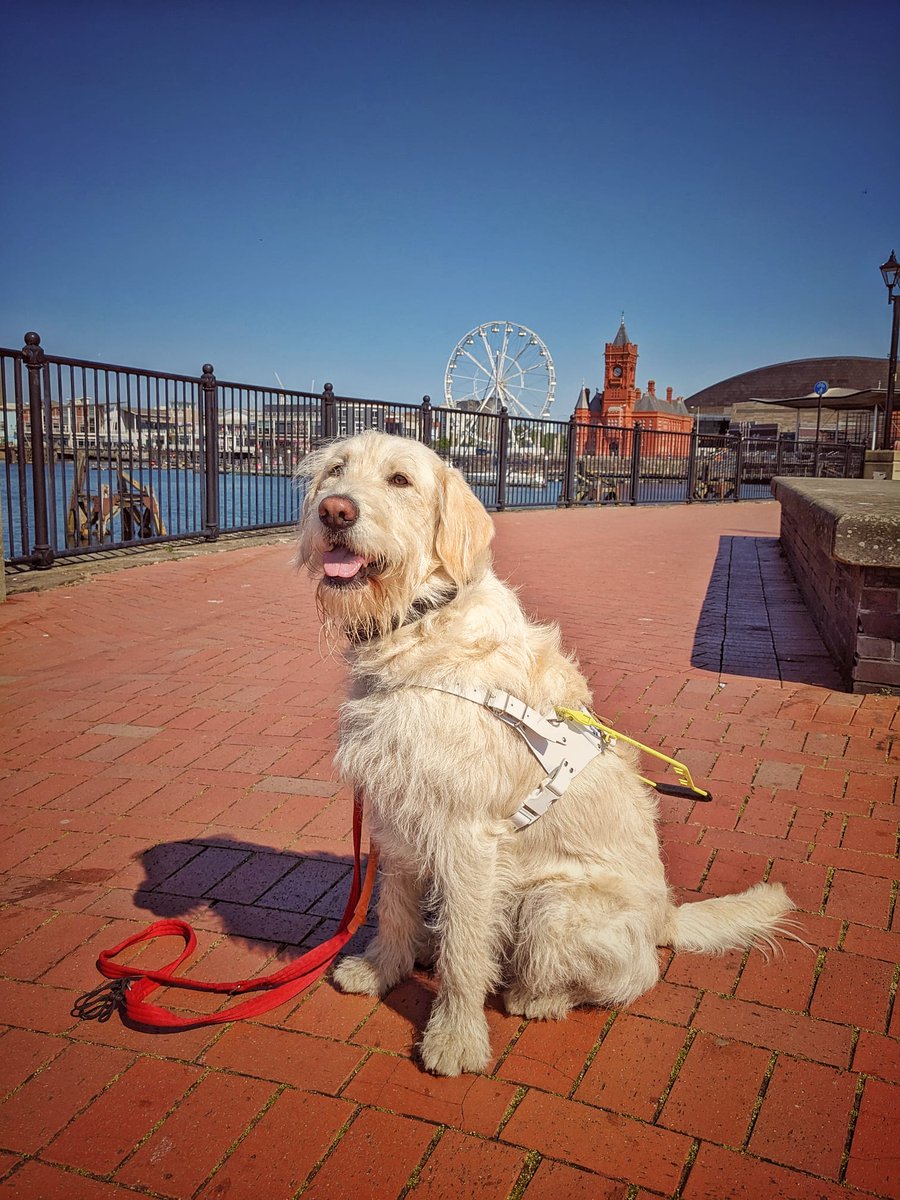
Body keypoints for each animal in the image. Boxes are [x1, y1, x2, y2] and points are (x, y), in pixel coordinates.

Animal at [297, 429, 796, 1080]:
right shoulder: (399, 811)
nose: (336, 512)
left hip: (552, 905)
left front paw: (455, 1038)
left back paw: (535, 997)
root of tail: (666, 917)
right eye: (336, 470)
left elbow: (464, 954)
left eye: (400, 480)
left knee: (627, 978)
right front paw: (384, 970)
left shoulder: (465, 834)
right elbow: (396, 908)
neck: (421, 627)